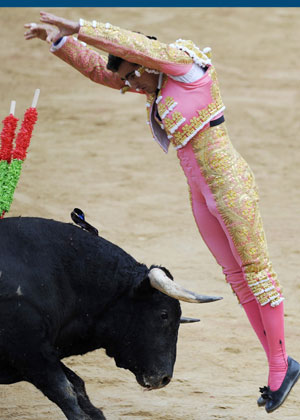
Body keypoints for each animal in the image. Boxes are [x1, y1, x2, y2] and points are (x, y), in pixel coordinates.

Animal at [0, 218, 221, 418]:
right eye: (164, 314)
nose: (164, 378)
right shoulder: (30, 351)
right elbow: (66, 392)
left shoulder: (41, 353)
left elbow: (78, 387)